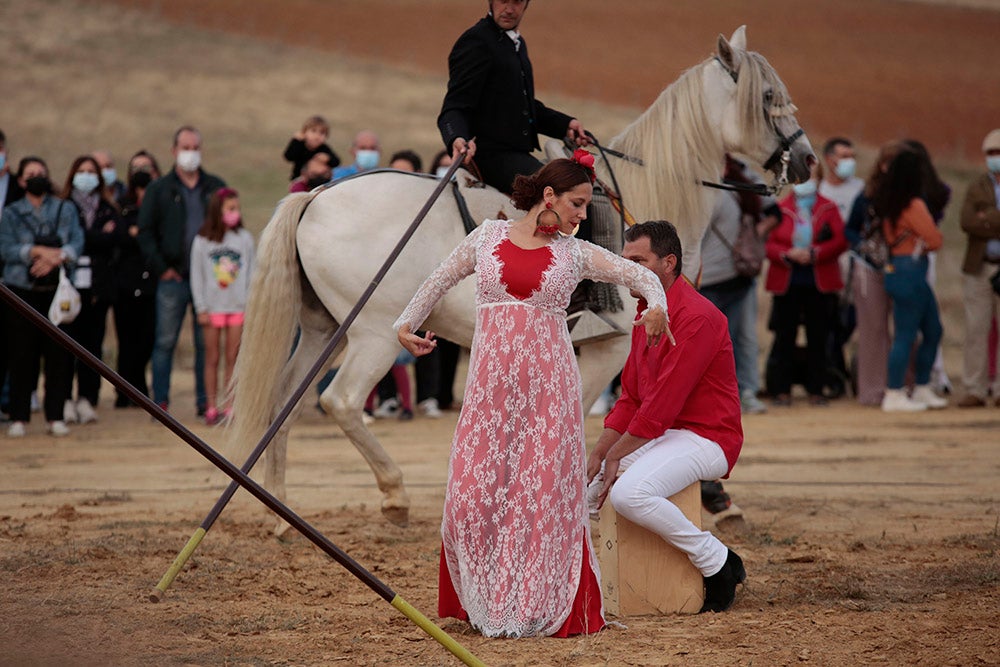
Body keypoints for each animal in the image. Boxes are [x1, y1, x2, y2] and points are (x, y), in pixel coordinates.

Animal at [230, 26, 816, 528]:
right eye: (767, 95)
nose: (808, 159)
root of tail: (317, 195)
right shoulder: (607, 350)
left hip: (323, 331)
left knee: (282, 401)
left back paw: (278, 510)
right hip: (374, 333)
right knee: (342, 401)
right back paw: (393, 495)